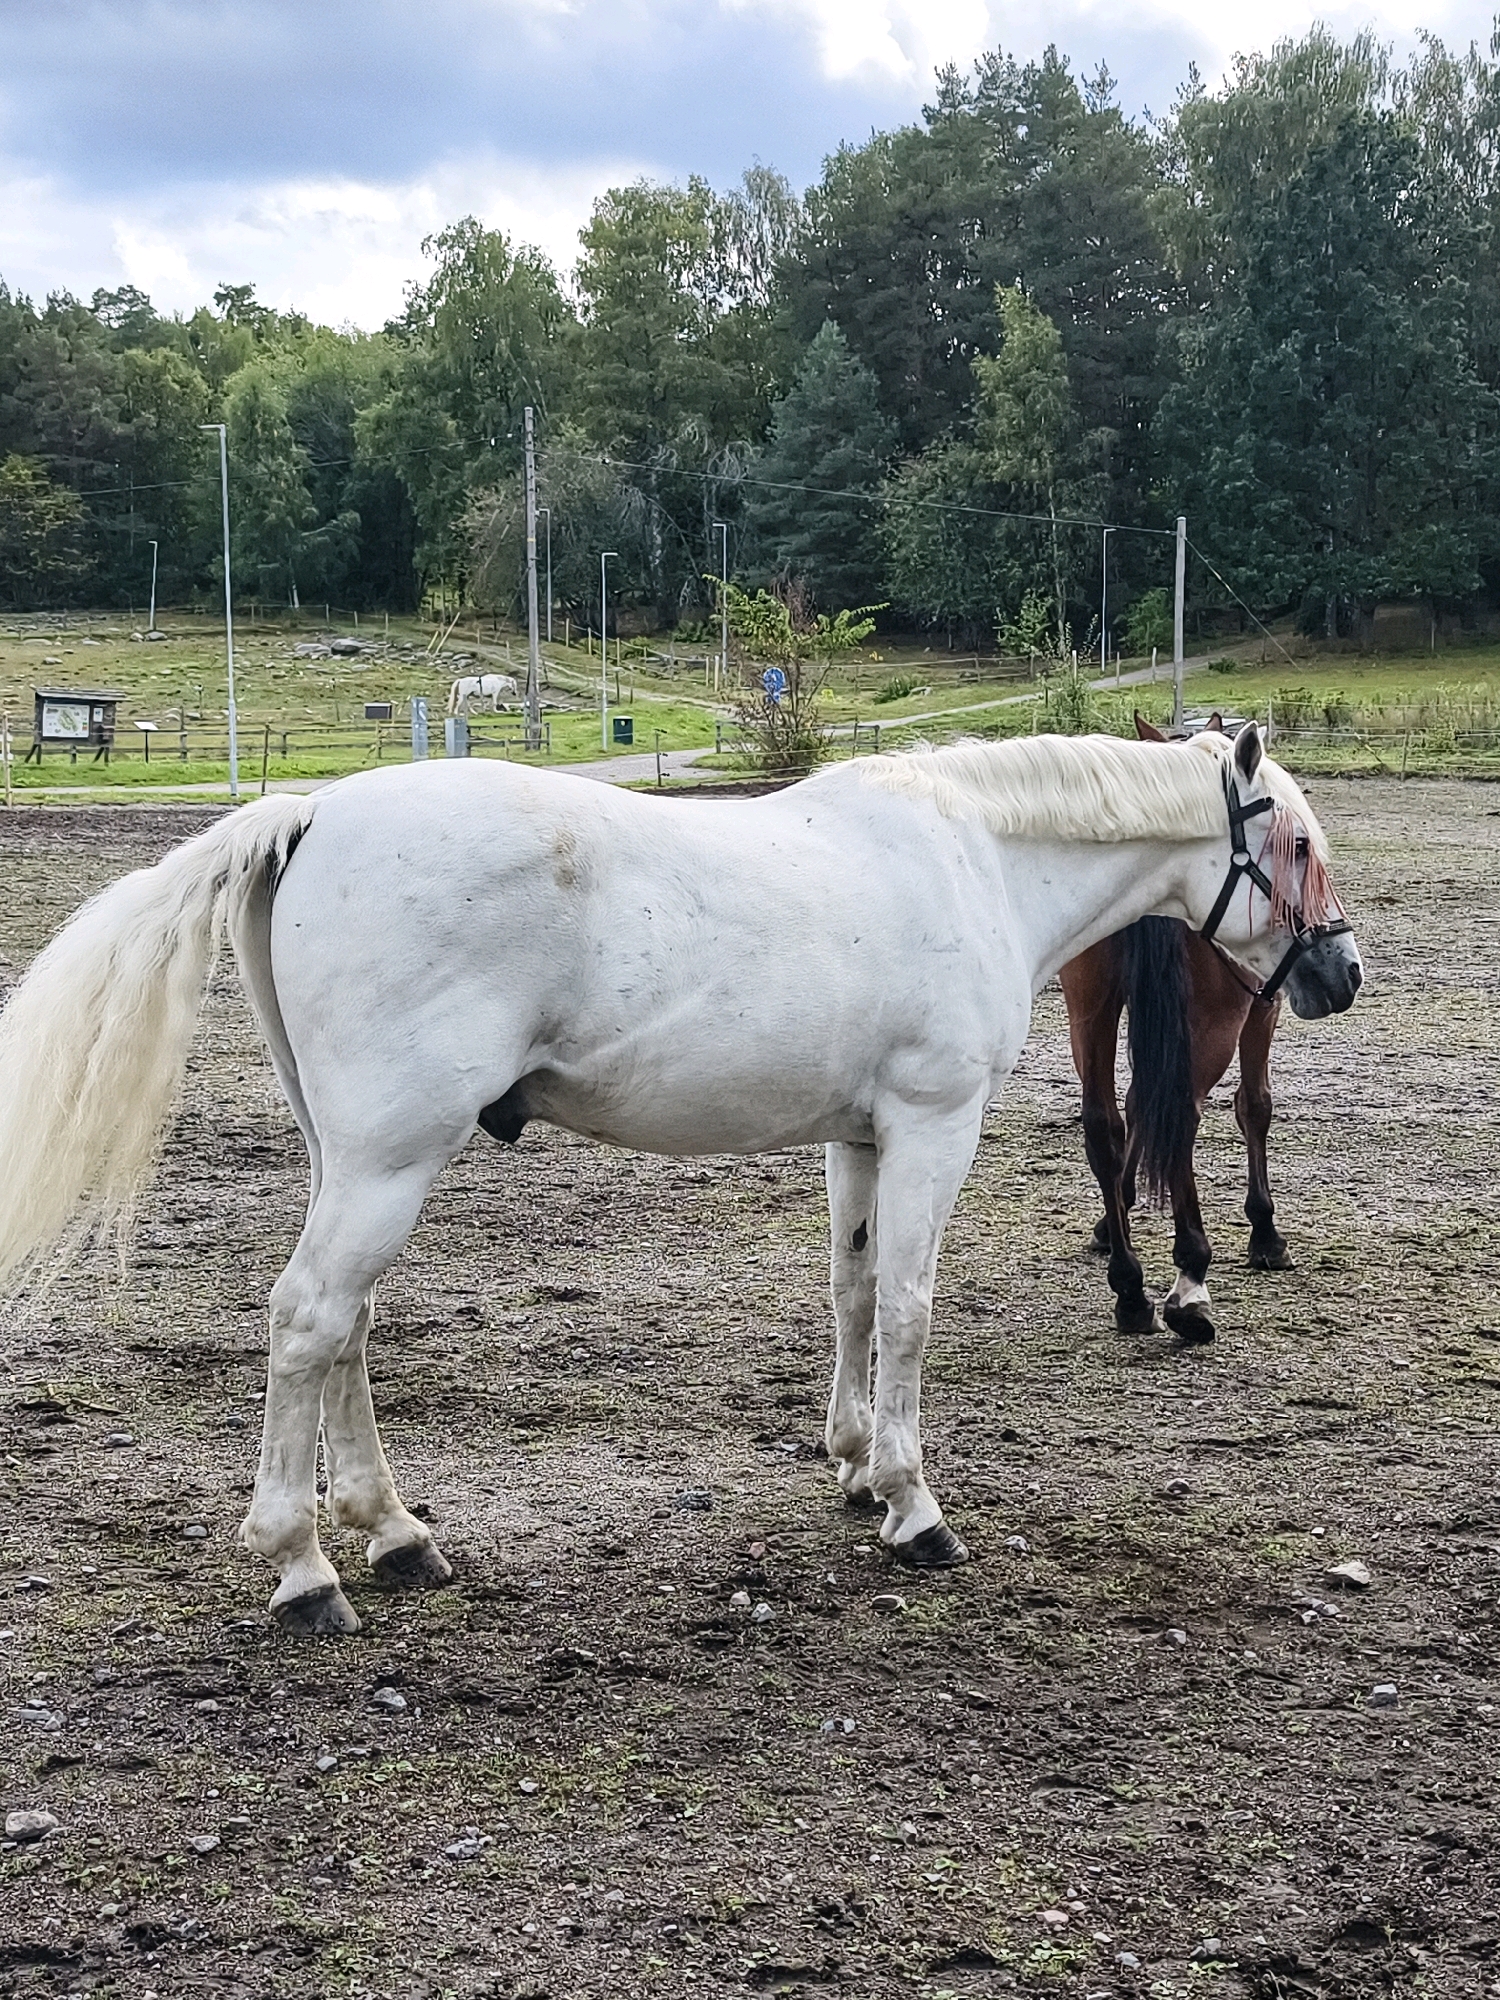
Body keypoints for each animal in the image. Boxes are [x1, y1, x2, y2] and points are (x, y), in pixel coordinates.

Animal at [1060, 714, 1304, 1342]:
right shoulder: (1260, 1008)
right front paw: (1264, 1231)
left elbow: (1136, 1103)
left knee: (1104, 1120)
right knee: (1185, 1112)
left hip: (1089, 1007)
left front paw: (1114, 1216)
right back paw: (1190, 1281)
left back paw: (1130, 1289)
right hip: (1213, 1020)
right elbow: (1254, 1105)